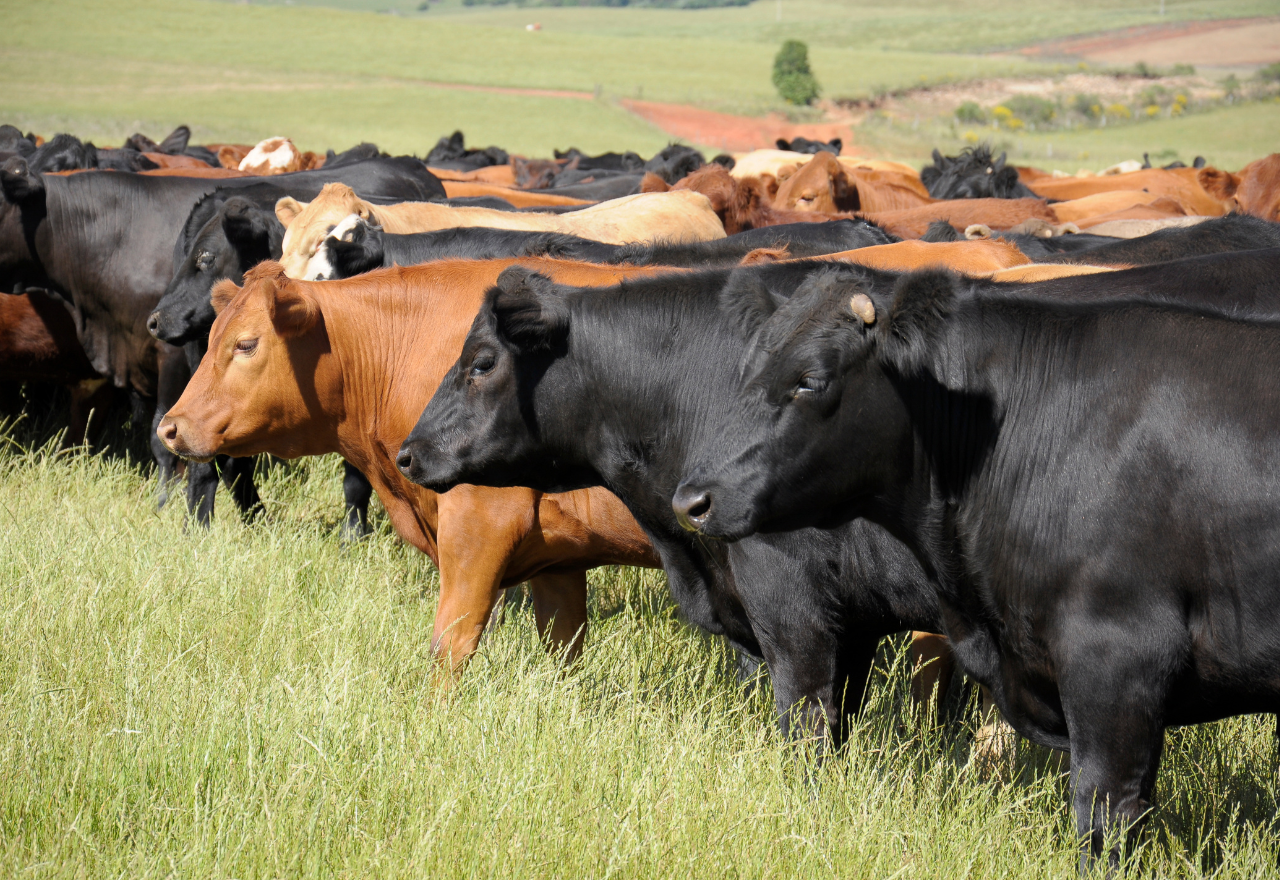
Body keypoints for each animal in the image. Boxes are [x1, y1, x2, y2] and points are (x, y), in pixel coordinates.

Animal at [156, 258, 675, 676]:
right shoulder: (559, 554)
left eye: (246, 344)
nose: (169, 427)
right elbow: (562, 646)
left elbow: (451, 645)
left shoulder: (479, 526)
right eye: (211, 340)